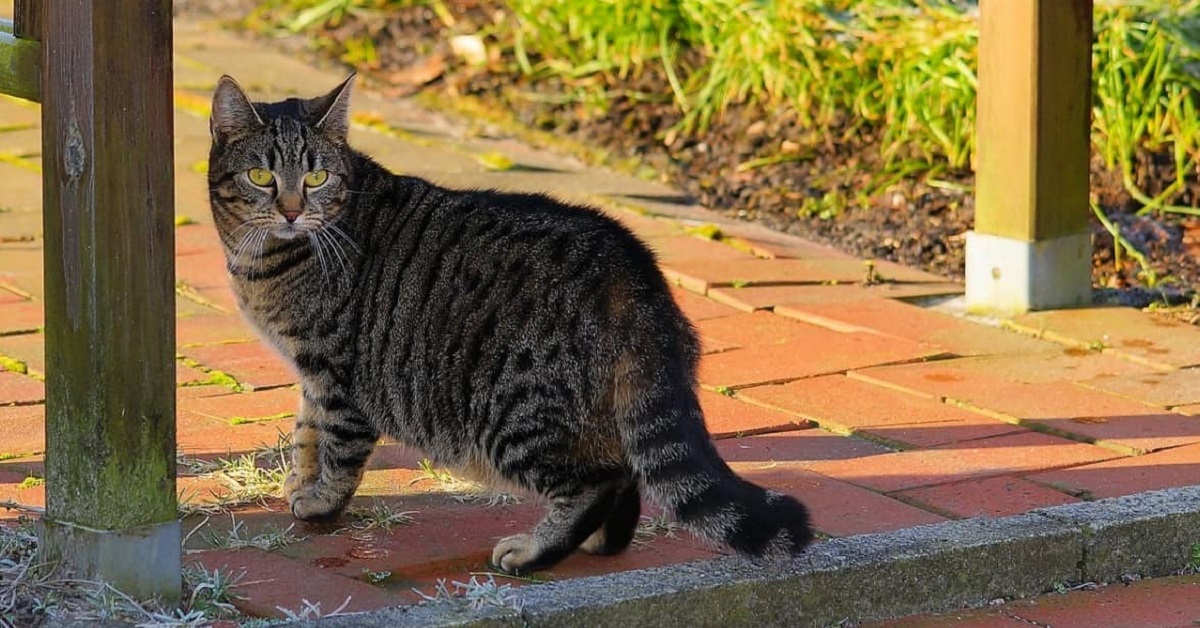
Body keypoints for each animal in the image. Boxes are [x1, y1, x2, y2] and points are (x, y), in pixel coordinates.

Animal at [208, 73, 816, 573]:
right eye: (262, 175)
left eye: (316, 176)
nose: (290, 209)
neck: (263, 260)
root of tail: (639, 277)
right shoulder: (312, 373)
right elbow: (305, 433)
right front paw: (298, 479)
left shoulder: (337, 375)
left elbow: (334, 446)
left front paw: (318, 501)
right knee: (624, 473)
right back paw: (602, 541)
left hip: (515, 412)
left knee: (598, 481)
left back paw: (536, 550)